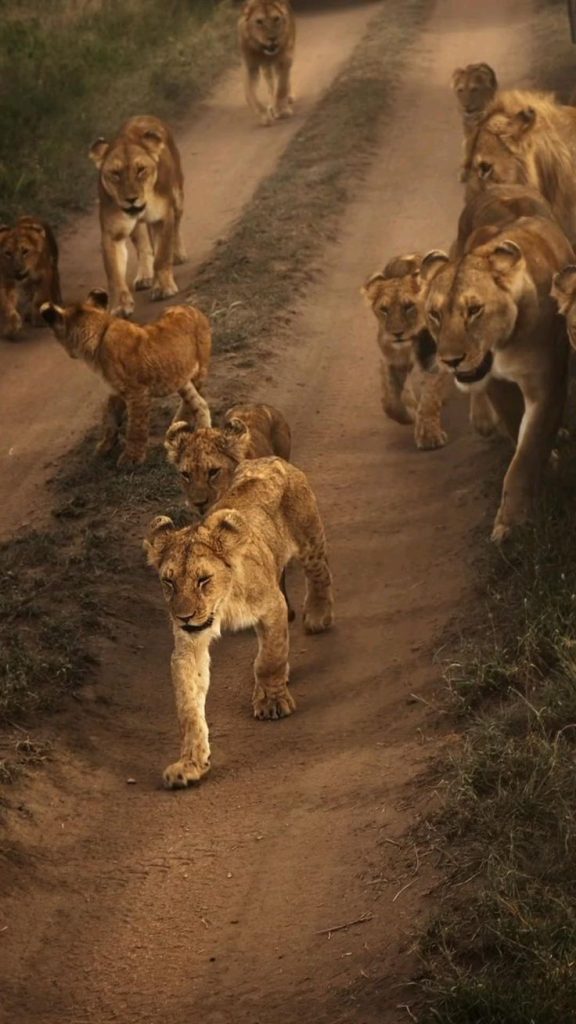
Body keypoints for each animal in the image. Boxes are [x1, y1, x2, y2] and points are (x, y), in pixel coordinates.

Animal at [40, 288, 211, 467]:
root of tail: (192, 308)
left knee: (192, 401)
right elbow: (108, 415)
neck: (98, 336)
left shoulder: (137, 393)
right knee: (198, 402)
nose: (69, 354)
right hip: (179, 375)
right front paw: (105, 444)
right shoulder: (117, 390)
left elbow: (136, 427)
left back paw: (183, 428)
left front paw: (131, 458)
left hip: (199, 371)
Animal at [89, 115, 186, 318]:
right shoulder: (112, 233)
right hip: (136, 227)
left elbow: (162, 255)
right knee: (143, 246)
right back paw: (145, 276)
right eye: (115, 174)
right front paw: (119, 306)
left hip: (178, 198)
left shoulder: (163, 218)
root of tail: (143, 115)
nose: (131, 199)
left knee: (177, 226)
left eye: (141, 170)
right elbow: (114, 273)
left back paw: (178, 254)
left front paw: (163, 288)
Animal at [144, 456, 334, 788]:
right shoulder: (189, 643)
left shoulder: (272, 606)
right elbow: (189, 704)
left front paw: (272, 703)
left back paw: (318, 615)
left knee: (320, 571)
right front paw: (191, 763)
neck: (223, 604)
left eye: (203, 580)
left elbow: (269, 659)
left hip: (309, 539)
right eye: (168, 582)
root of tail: (271, 459)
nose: (183, 616)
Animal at [361, 254, 454, 450]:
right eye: (384, 309)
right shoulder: (393, 360)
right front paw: (408, 415)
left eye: (409, 306)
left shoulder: (432, 359)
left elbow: (429, 397)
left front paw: (429, 436)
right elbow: (391, 401)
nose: (397, 333)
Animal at [422, 214, 572, 542]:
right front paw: (549, 464)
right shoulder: (495, 383)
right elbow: (516, 427)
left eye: (474, 310)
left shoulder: (547, 384)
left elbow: (527, 453)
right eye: (434, 314)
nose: (450, 360)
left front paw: (512, 523)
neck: (503, 345)